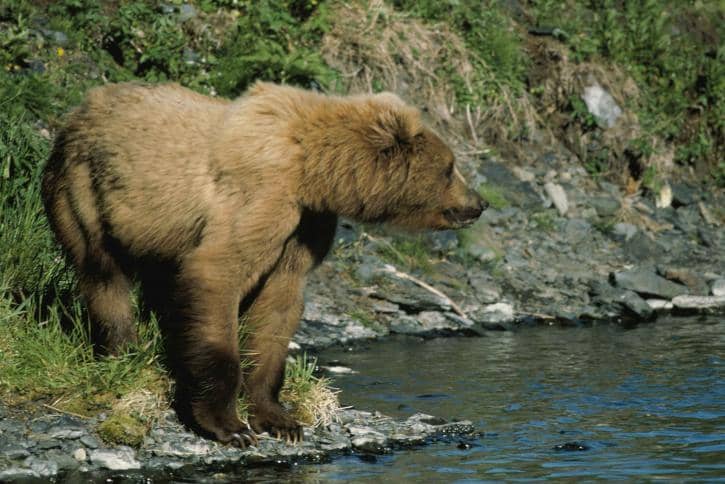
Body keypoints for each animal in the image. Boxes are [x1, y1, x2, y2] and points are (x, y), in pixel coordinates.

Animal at [41, 81, 487, 447]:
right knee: (103, 275)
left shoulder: (306, 226)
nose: (479, 203)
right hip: (84, 191)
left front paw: (279, 419)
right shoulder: (262, 199)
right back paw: (123, 350)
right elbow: (219, 274)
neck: (314, 172)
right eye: (450, 167)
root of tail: (78, 109)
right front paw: (228, 425)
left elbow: (278, 306)